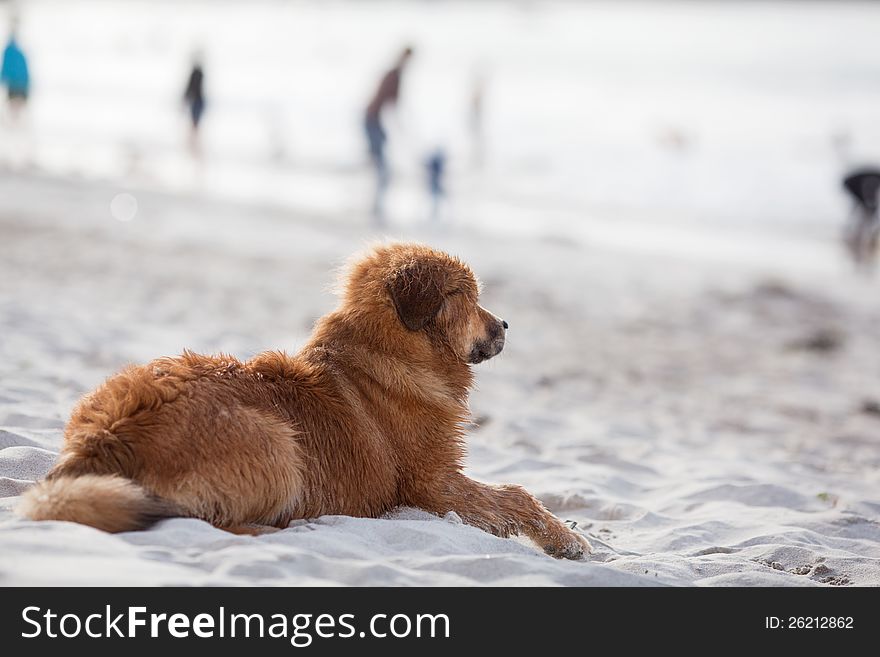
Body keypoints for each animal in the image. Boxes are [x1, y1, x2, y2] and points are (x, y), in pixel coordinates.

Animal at [17, 241, 592, 560]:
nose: (505, 325)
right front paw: (567, 541)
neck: (391, 347)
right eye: (472, 300)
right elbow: (517, 495)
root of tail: (106, 434)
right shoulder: (433, 482)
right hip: (276, 442)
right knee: (202, 518)